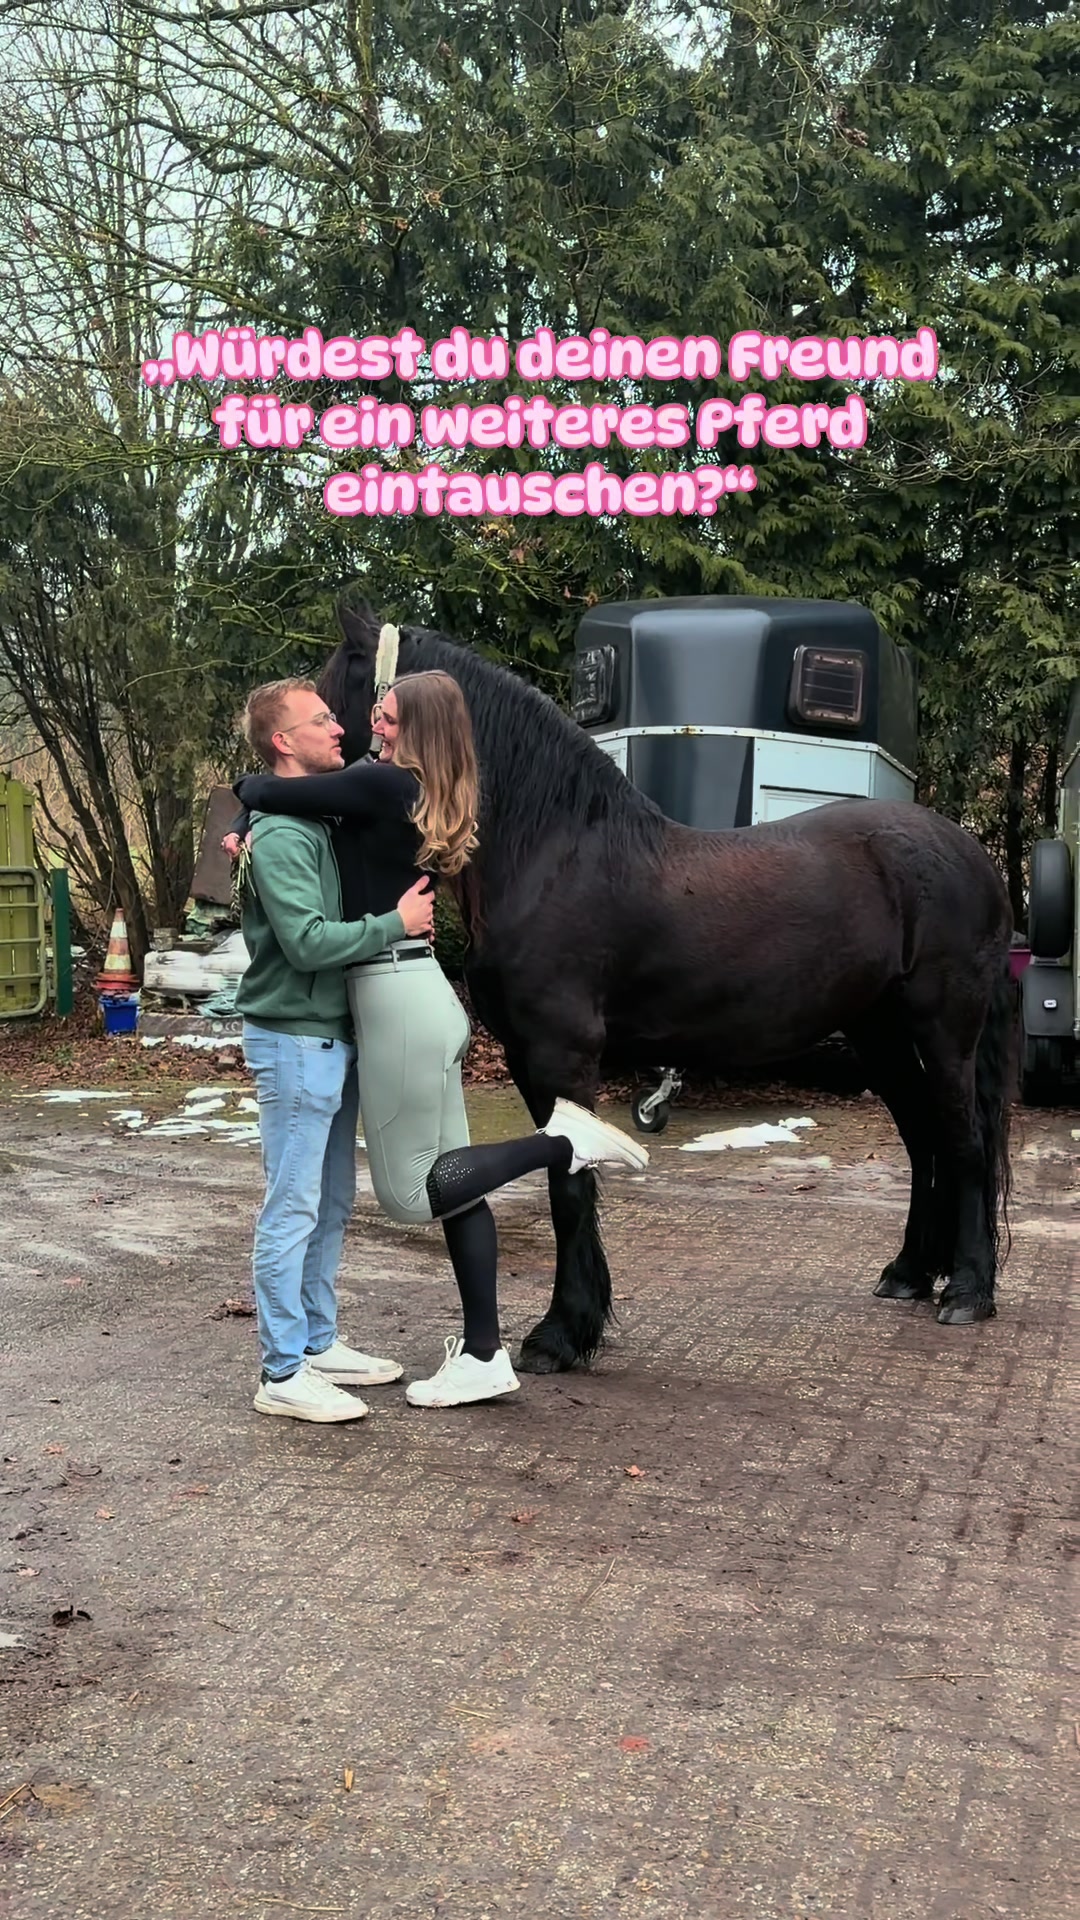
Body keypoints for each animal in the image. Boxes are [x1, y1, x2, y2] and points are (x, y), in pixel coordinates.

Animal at [320, 602, 1014, 1374]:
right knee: (925, 1142)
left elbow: (569, 1186)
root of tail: (969, 852)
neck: (552, 852)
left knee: (964, 1143)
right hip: (880, 1034)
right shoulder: (533, 1062)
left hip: (944, 1031)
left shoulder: (562, 1055)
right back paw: (910, 1275)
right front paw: (578, 1325)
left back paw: (969, 1292)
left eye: (332, 683)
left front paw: (560, 1335)